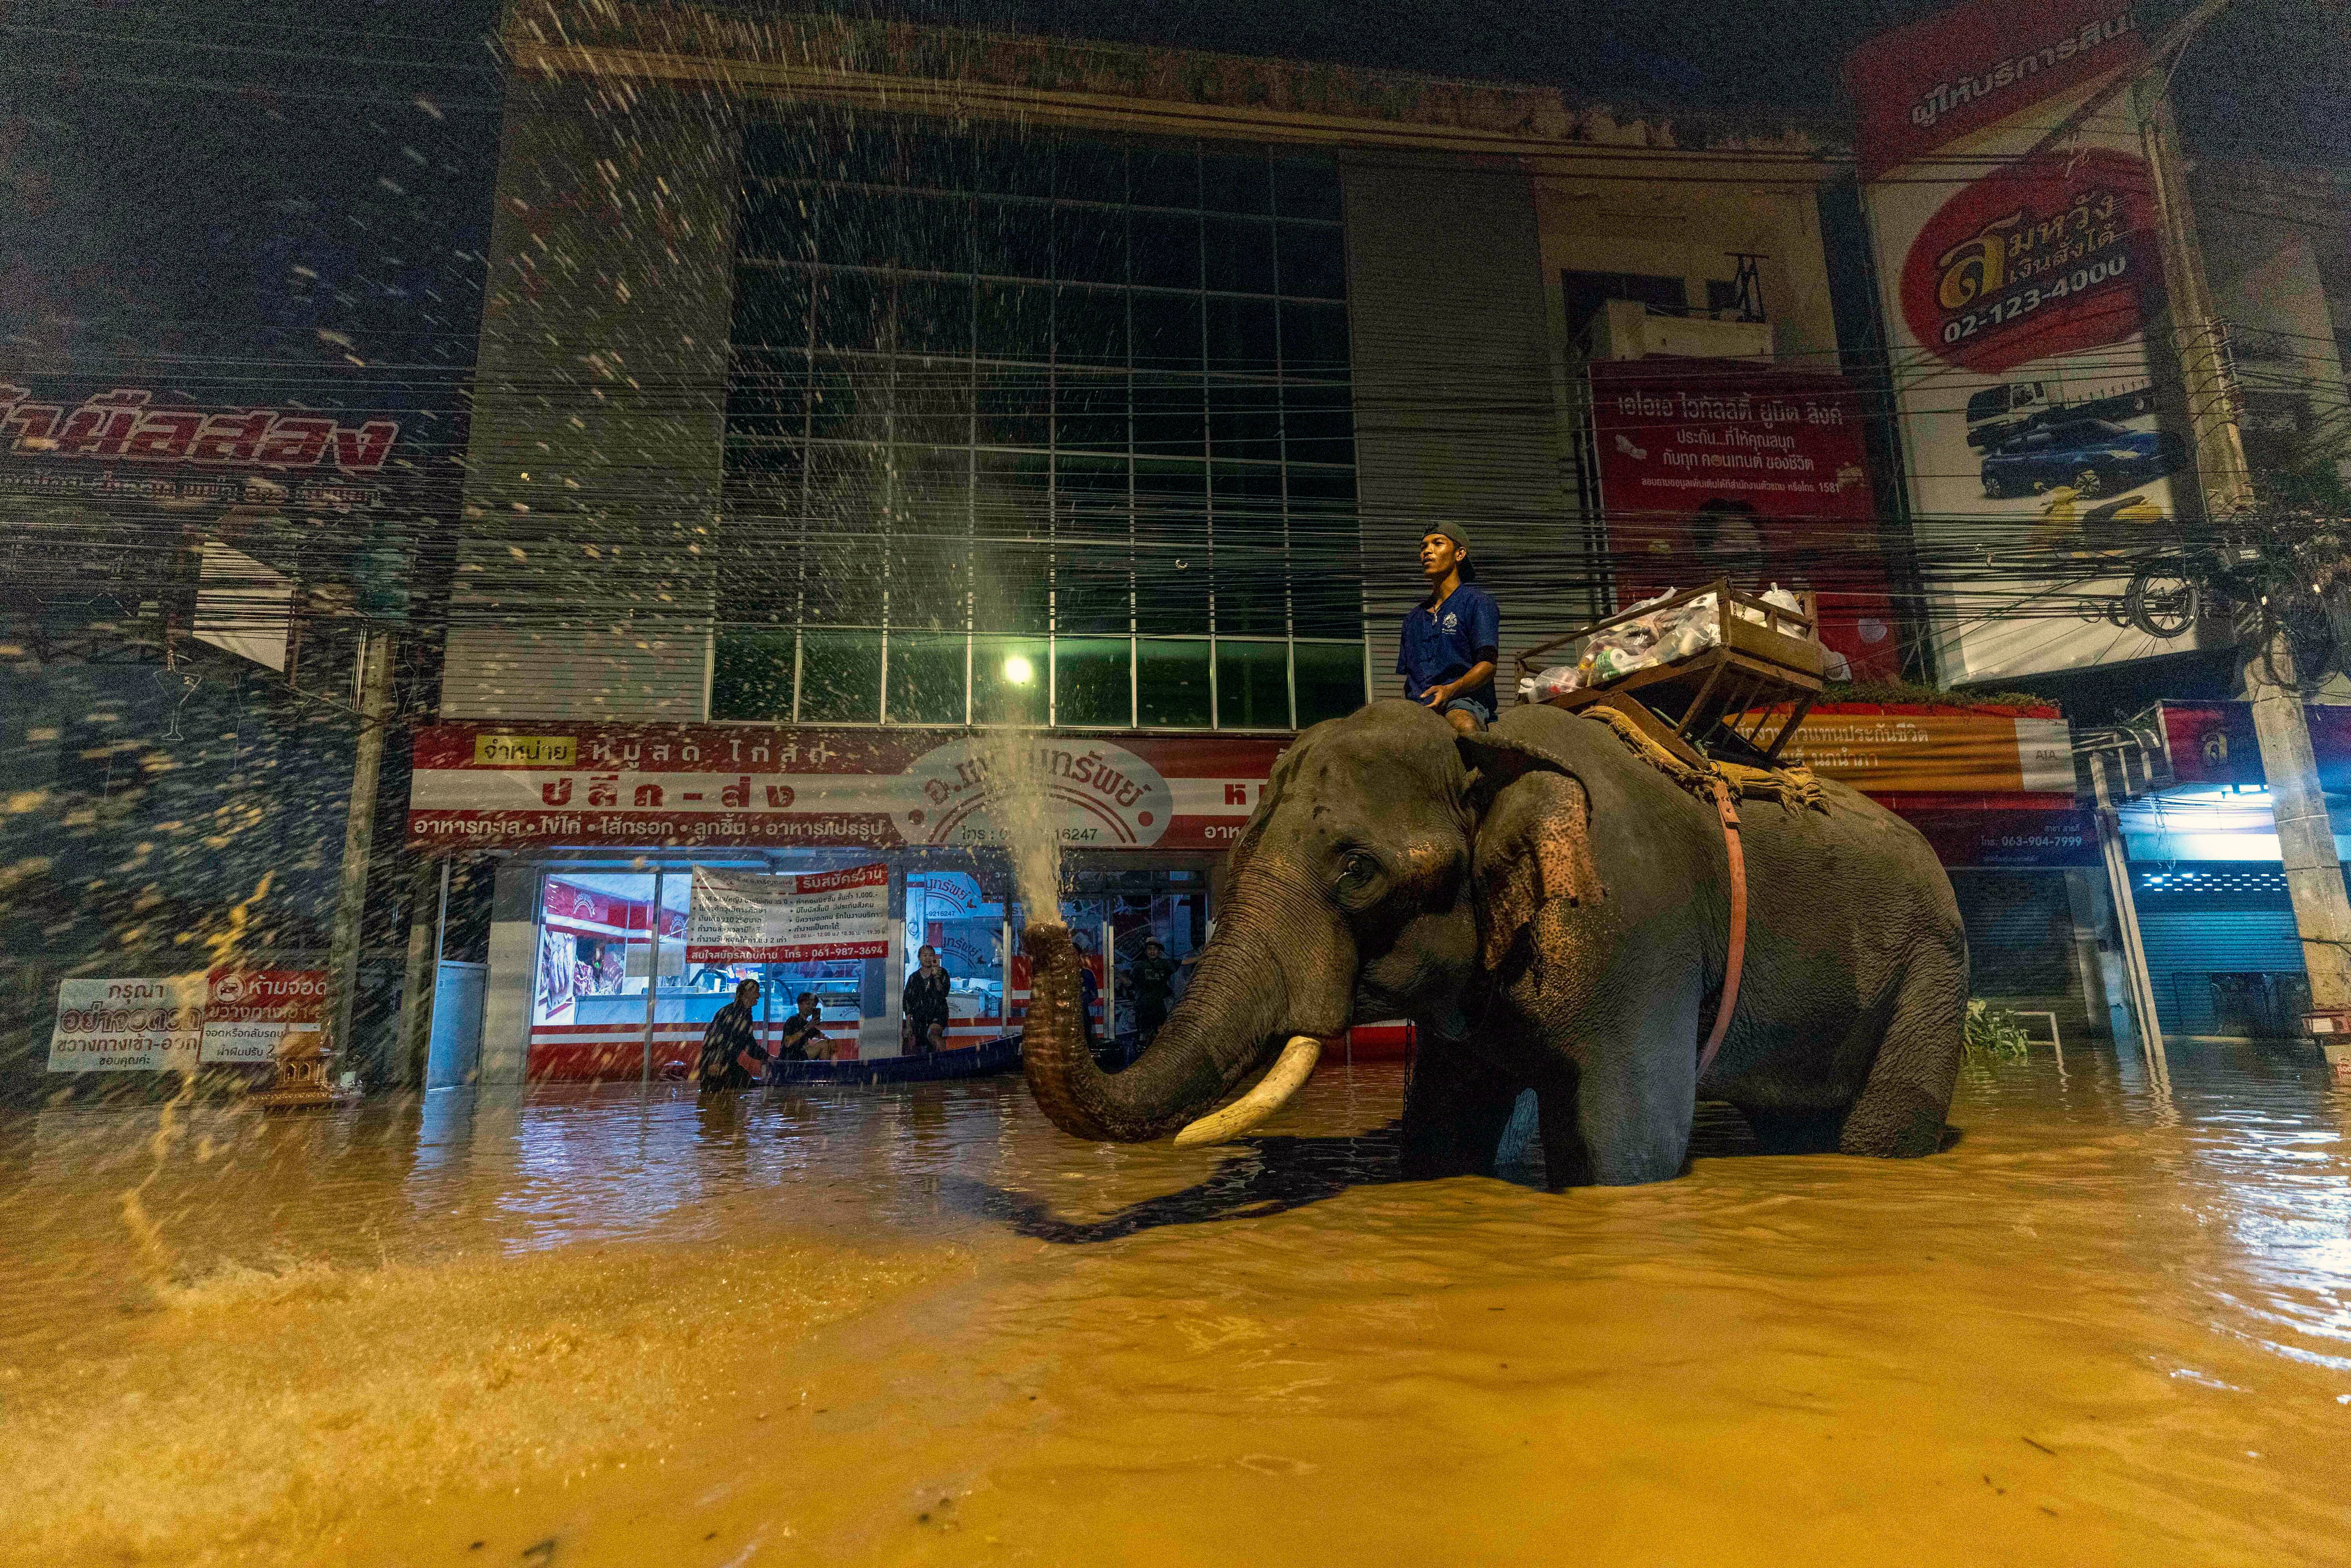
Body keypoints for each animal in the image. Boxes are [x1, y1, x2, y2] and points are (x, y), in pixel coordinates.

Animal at [1025, 701, 1965, 1190]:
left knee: (1884, 1124)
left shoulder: (1639, 932)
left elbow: (1630, 1148)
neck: (1488, 743)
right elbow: (1445, 1127)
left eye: (1358, 871)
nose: (1044, 931)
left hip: (1934, 963)